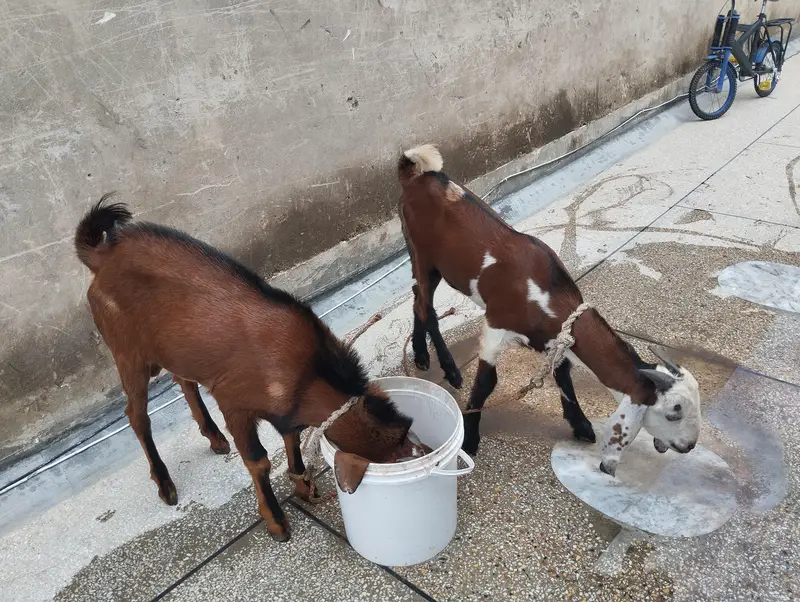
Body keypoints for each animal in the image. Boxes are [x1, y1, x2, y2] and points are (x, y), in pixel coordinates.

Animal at [75, 195, 424, 541]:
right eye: (400, 452)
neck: (308, 371)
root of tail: (100, 257)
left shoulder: (284, 411)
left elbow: (291, 438)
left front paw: (302, 485)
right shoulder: (234, 403)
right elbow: (259, 461)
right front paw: (277, 522)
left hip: (176, 348)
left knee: (183, 379)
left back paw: (215, 438)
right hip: (127, 352)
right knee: (137, 414)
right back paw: (165, 484)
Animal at [397, 145, 701, 476]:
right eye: (673, 412)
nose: (689, 446)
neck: (546, 294)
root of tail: (416, 173)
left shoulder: (553, 337)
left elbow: (563, 373)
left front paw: (581, 424)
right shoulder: (495, 324)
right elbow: (488, 381)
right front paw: (471, 437)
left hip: (429, 260)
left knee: (417, 297)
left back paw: (422, 355)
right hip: (422, 253)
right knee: (426, 307)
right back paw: (451, 370)